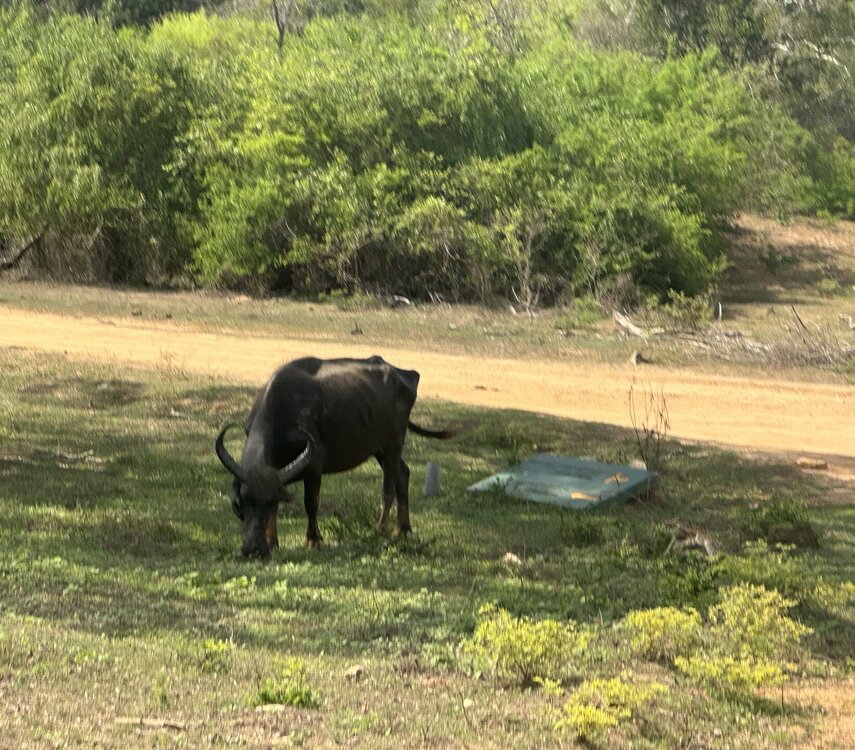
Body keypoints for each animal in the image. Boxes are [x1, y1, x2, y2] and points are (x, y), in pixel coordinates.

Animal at [214, 356, 455, 558]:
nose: (253, 549)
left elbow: (311, 503)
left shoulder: (314, 466)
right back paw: (402, 529)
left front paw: (313, 540)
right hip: (378, 449)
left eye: (270, 503)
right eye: (243, 502)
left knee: (388, 489)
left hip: (393, 443)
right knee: (403, 474)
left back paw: (381, 530)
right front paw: (273, 541)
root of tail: (404, 375)